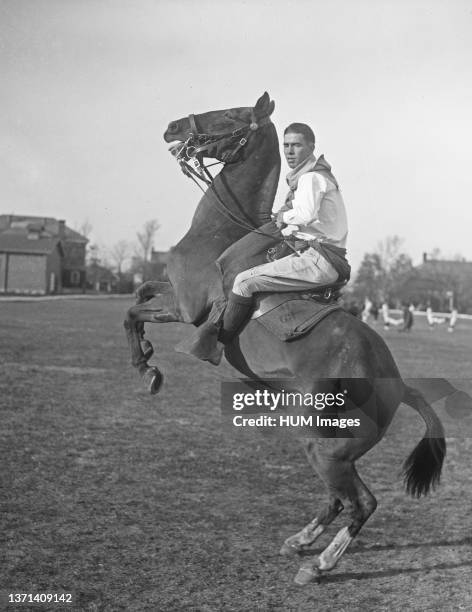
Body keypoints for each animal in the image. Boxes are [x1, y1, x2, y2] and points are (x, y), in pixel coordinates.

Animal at [122, 93, 454, 584]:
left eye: (231, 113)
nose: (173, 126)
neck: (219, 232)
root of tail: (398, 384)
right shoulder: (170, 294)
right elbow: (139, 294)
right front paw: (146, 360)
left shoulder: (185, 307)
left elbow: (134, 311)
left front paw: (148, 368)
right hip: (330, 450)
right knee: (339, 500)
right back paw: (300, 542)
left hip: (326, 448)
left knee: (361, 502)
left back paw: (319, 564)